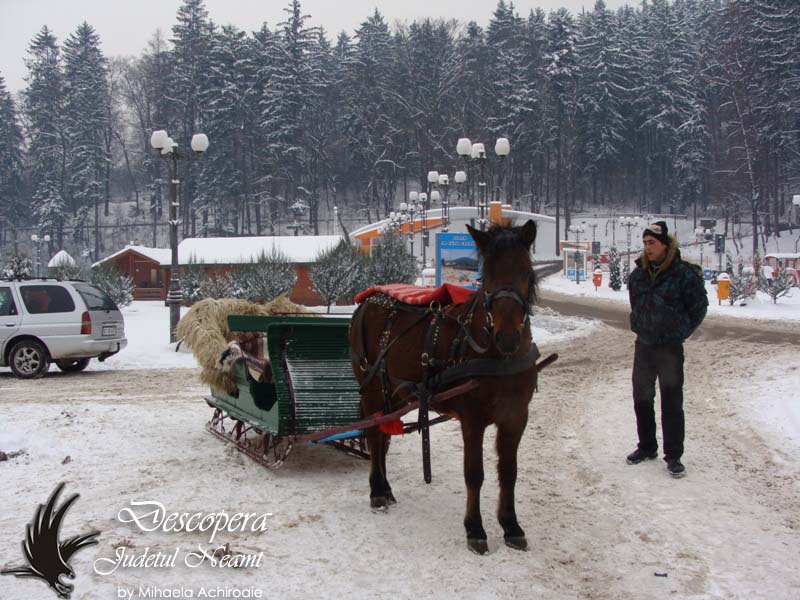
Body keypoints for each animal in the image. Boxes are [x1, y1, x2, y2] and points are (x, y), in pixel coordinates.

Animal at [352, 220, 556, 552]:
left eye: (527, 272)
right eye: (485, 276)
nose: (507, 337)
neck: (497, 356)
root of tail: (367, 301)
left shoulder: (515, 417)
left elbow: (508, 472)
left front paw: (510, 525)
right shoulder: (472, 419)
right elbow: (474, 474)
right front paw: (475, 528)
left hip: (394, 393)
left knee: (383, 436)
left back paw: (386, 488)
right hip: (371, 389)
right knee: (374, 433)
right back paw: (377, 491)